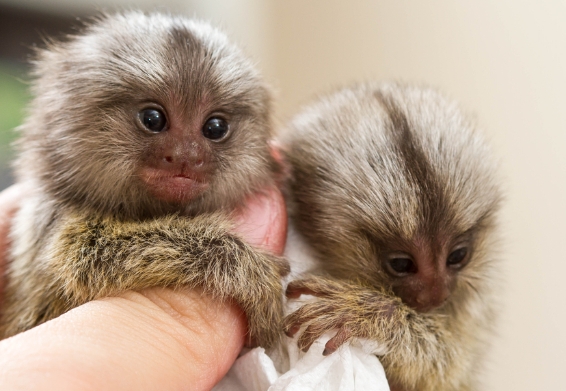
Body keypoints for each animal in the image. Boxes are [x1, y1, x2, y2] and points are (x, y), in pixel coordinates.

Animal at [1, 13, 288, 350]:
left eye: (215, 127)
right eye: (153, 119)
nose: (186, 156)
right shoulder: (53, 219)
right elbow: (85, 257)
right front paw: (246, 266)